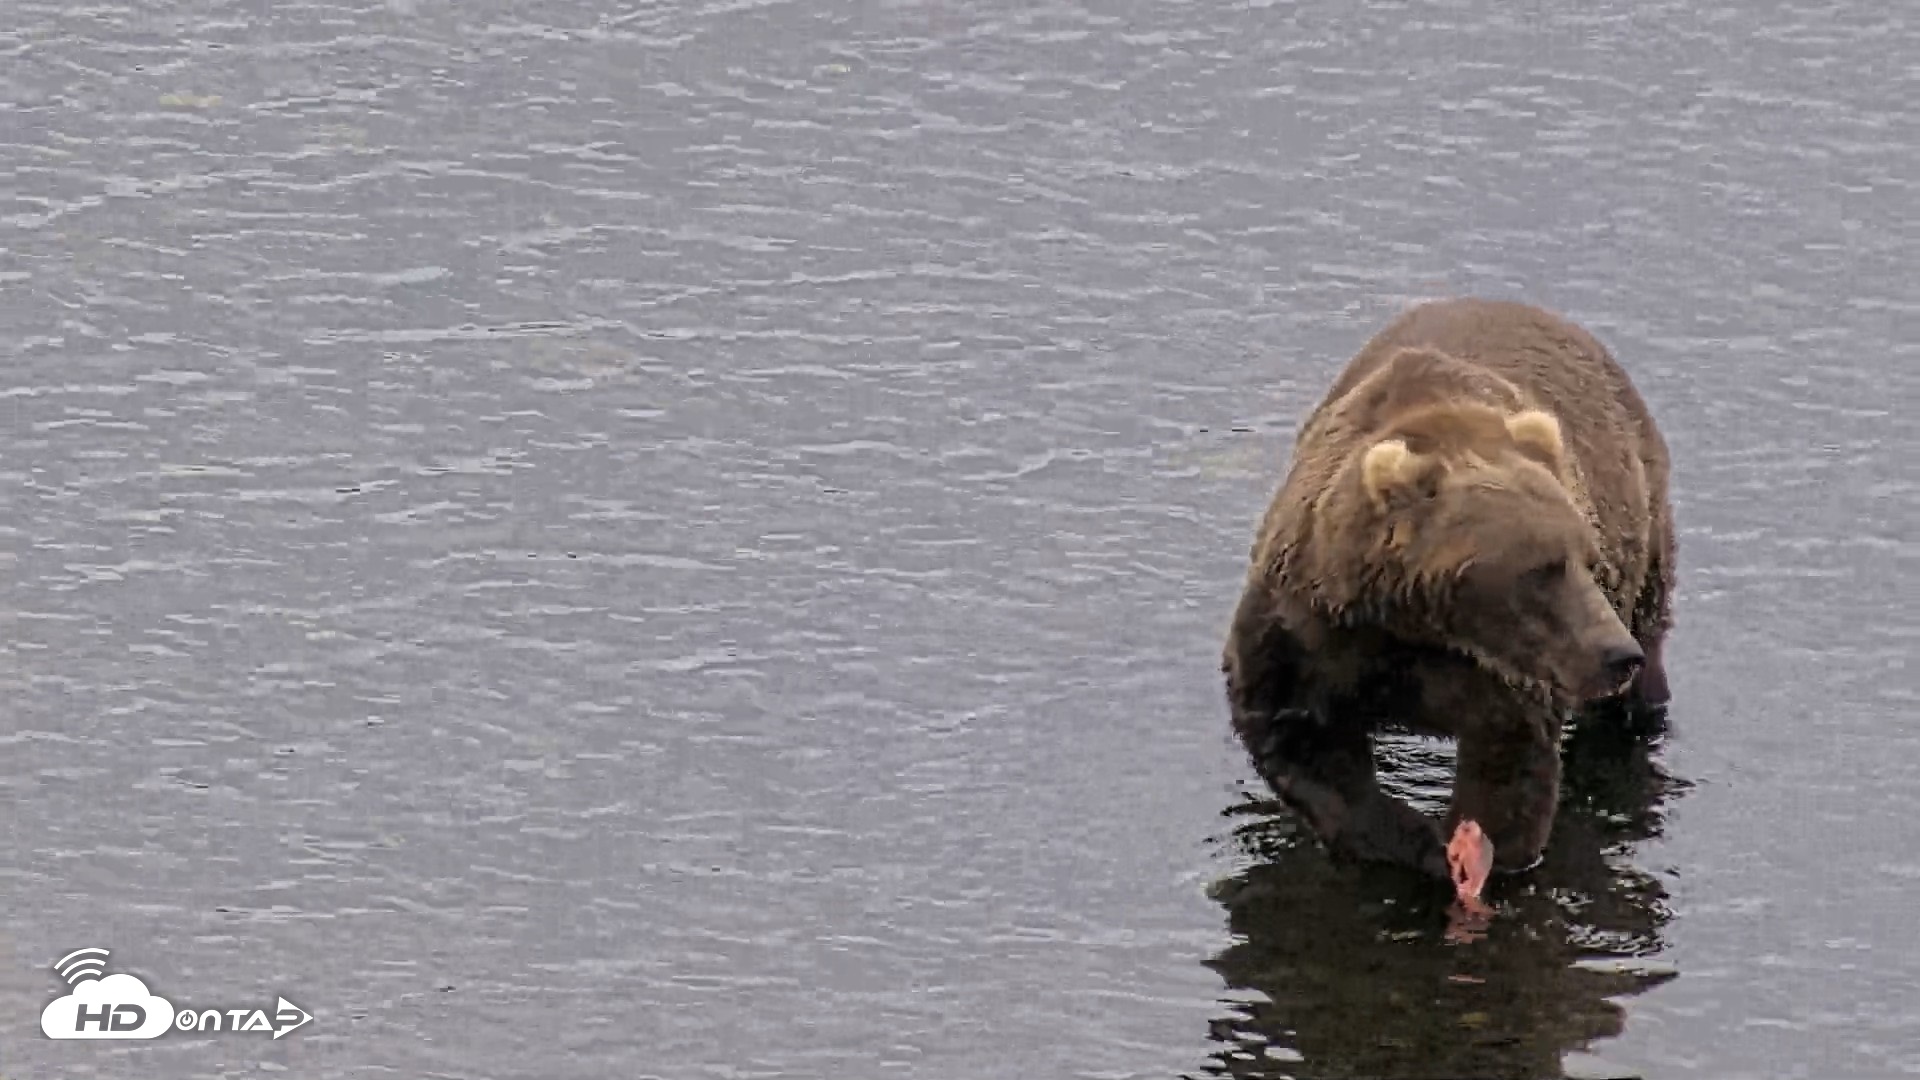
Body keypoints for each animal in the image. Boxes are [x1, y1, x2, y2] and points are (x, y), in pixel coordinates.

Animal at [1222, 297, 1675, 884]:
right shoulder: (1308, 626)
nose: (1617, 654)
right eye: (1542, 568)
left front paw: (1478, 854)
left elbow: (1509, 762)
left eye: (1587, 560)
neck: (1414, 619)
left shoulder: (1507, 671)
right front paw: (1411, 841)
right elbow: (1294, 730)